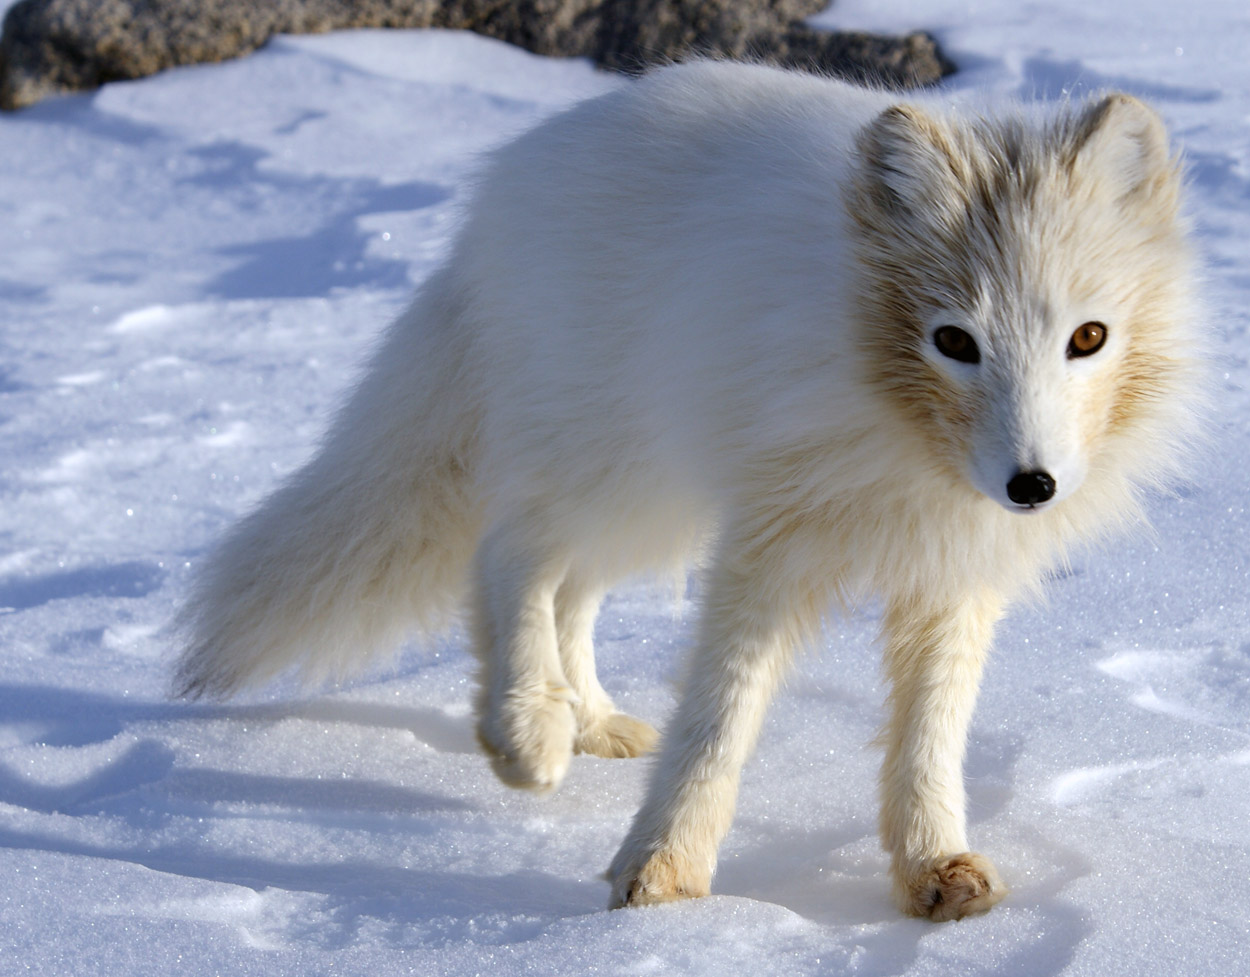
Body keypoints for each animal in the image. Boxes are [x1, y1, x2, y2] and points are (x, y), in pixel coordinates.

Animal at [176, 63, 1200, 924]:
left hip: (657, 502)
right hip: (617, 466)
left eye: (1088, 338)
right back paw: (527, 730)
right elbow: (718, 716)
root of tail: (509, 179)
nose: (1032, 484)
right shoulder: (768, 546)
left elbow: (931, 736)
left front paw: (934, 866)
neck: (906, 442)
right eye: (955, 340)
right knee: (512, 552)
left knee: (571, 590)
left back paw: (589, 719)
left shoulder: (953, 573)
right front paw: (662, 873)